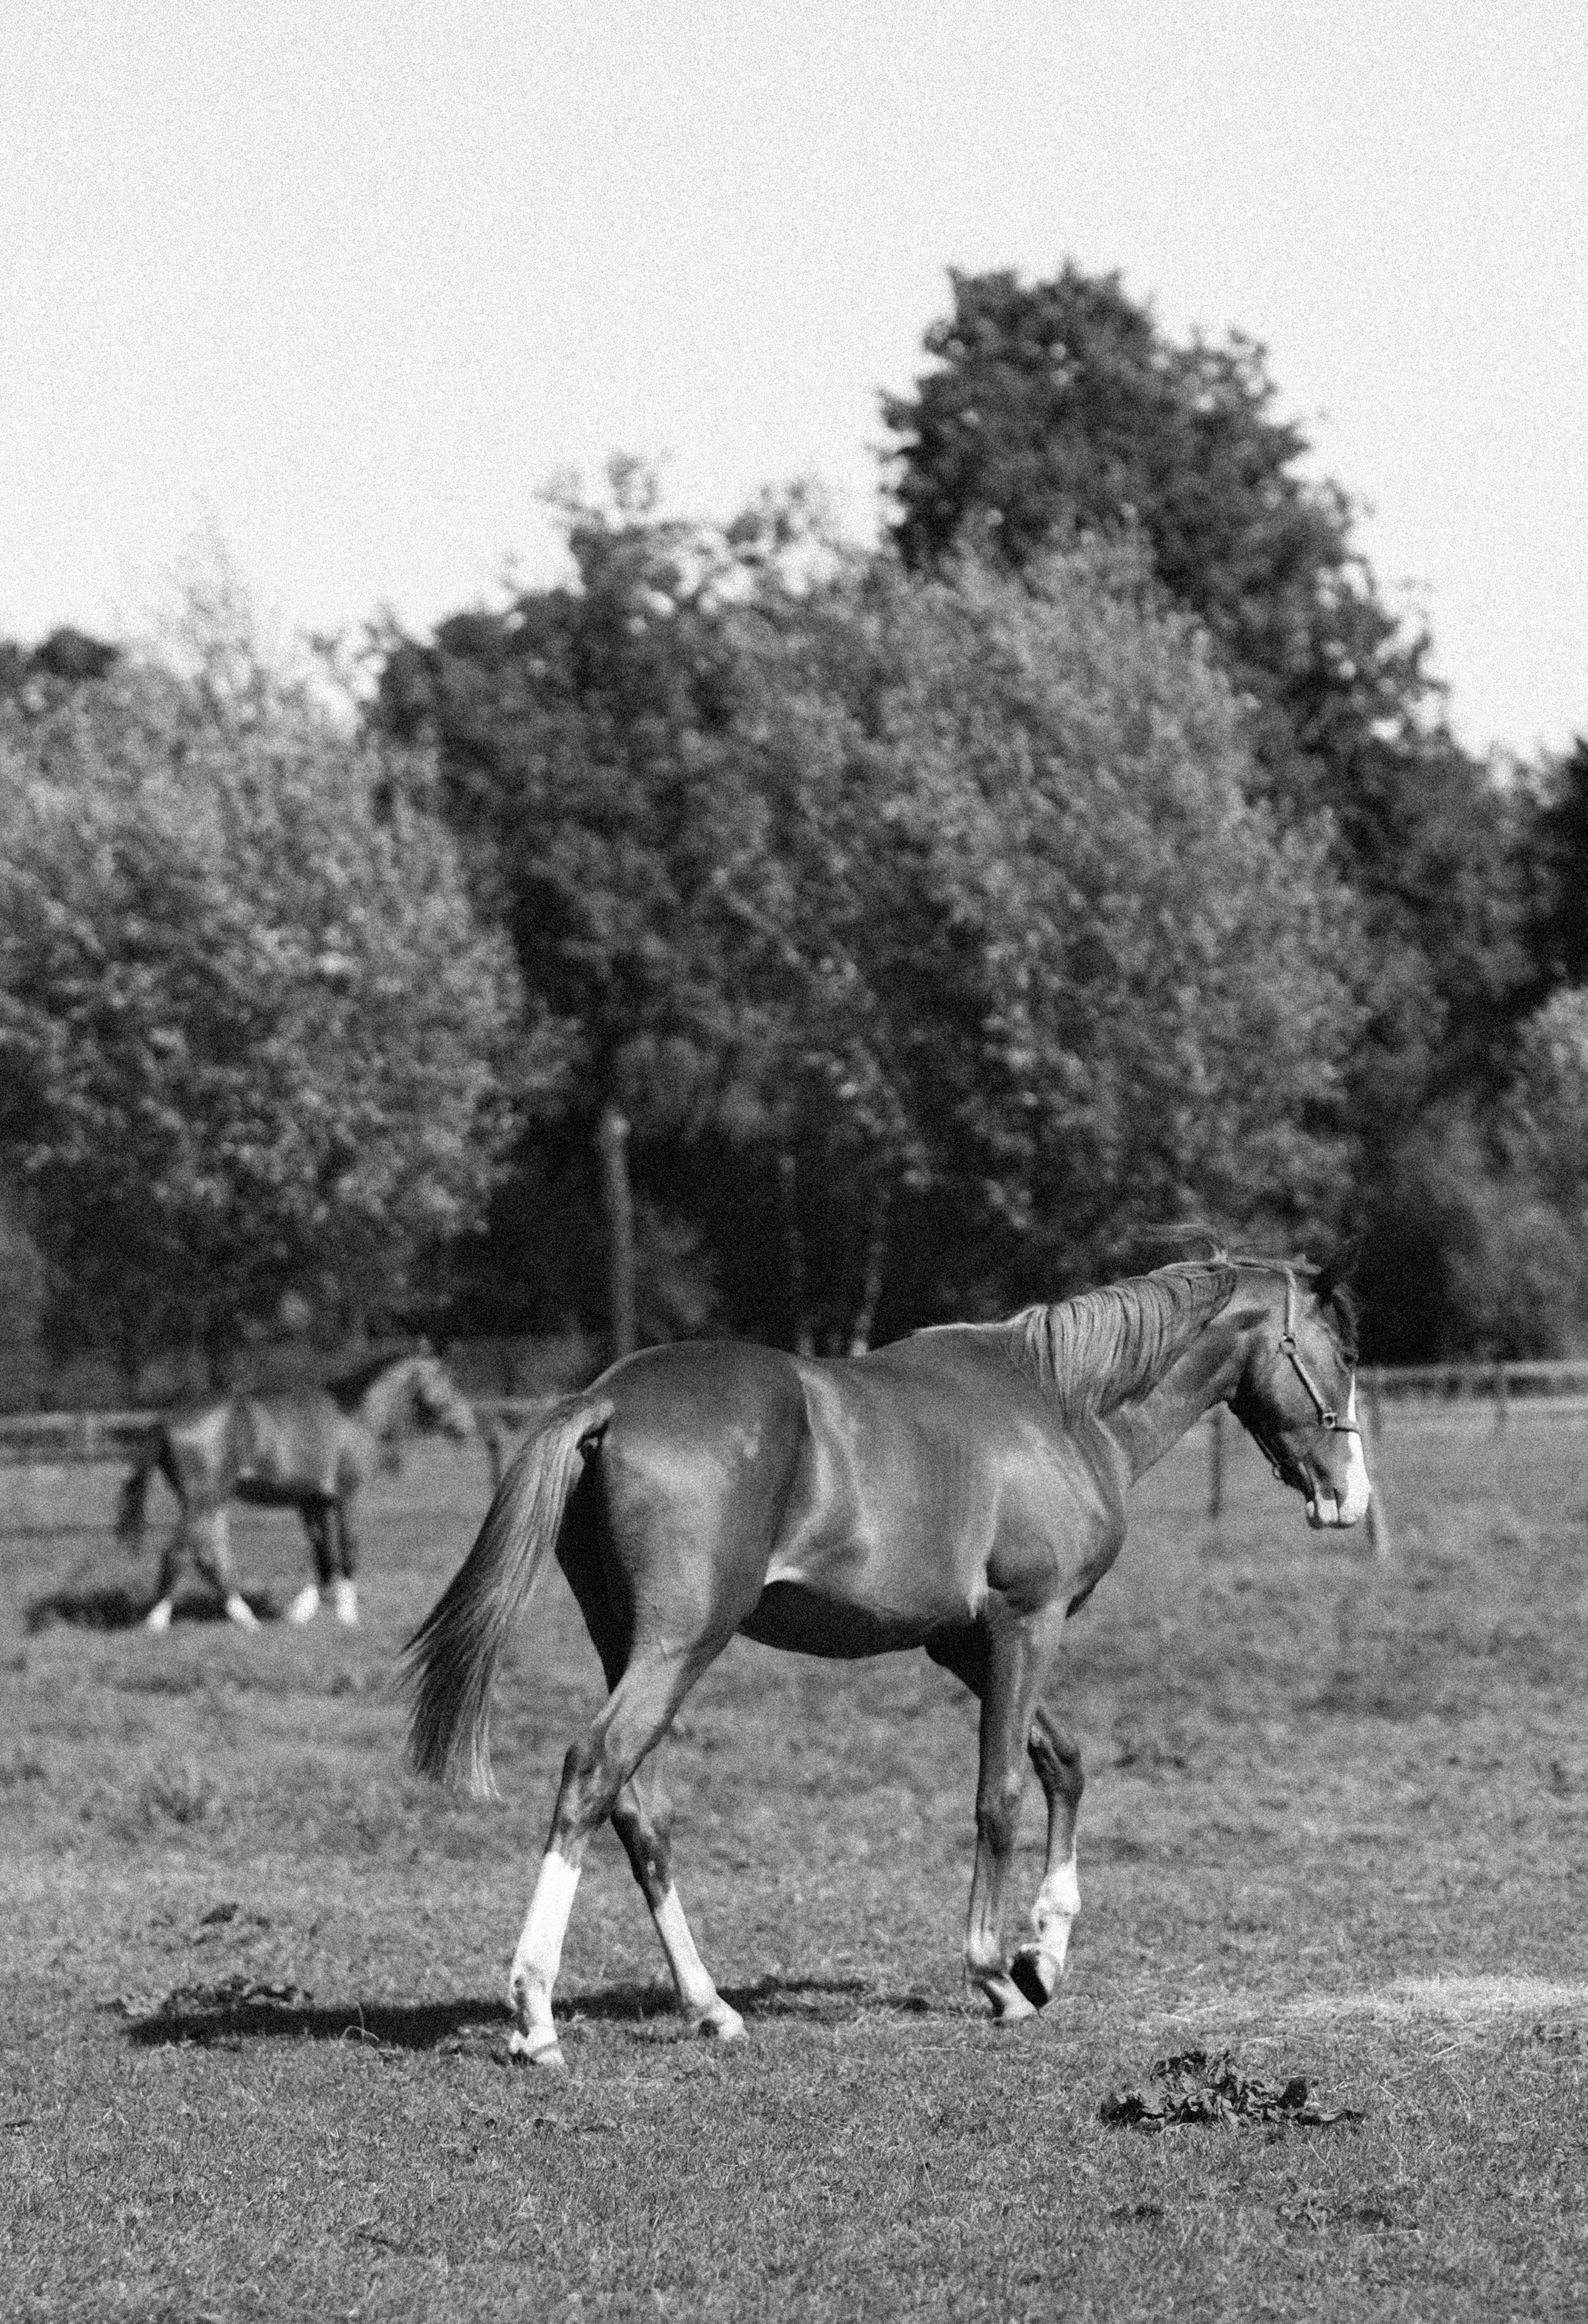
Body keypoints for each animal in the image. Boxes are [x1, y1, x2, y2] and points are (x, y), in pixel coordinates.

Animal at [118, 1350, 476, 1633]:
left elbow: (323, 1556)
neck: (354, 1415)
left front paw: (302, 1612)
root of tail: (167, 1420)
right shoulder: (345, 1500)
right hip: (201, 1501)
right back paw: (157, 1622)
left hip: (213, 1503)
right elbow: (346, 1550)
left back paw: (247, 1620)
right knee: (179, 1554)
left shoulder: (313, 1503)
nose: (468, 1426)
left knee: (211, 1560)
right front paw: (348, 1616)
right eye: (448, 1382)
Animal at [403, 1254, 1370, 2071]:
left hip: (629, 1647)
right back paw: (535, 2014)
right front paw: (996, 1973)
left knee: (640, 1812)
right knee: (592, 1770)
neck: (1061, 1406)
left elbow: (1063, 1763)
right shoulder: (1027, 1622)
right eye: (1346, 1352)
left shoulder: (964, 1641)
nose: (1350, 1496)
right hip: (683, 1643)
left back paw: (709, 2006)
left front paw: (1045, 1952)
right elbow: (1000, 1794)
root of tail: (608, 1400)